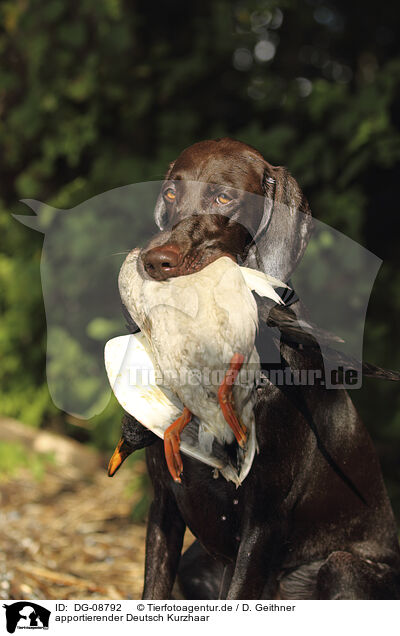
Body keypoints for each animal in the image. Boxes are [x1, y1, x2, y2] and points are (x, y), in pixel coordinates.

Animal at [116, 137, 400, 600]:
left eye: (224, 197)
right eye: (171, 193)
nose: (154, 262)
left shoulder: (262, 520)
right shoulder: (164, 503)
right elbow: (152, 592)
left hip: (341, 567)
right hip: (197, 562)